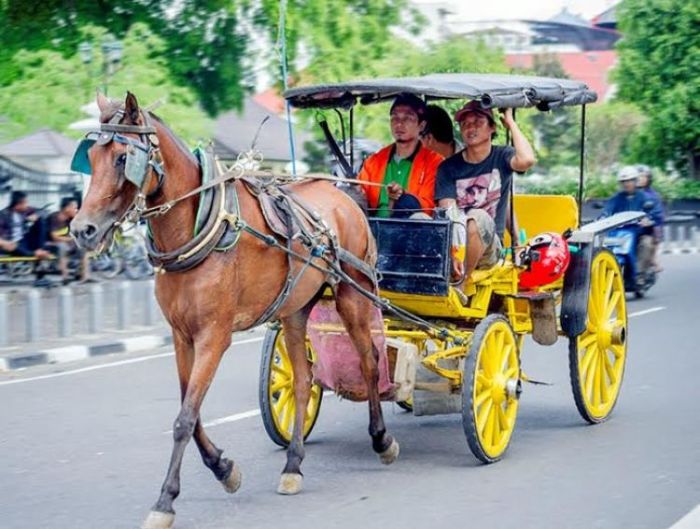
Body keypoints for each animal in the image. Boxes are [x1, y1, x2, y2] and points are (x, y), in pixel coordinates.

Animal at [72, 92, 402, 528]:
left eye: (124, 158)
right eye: (91, 156)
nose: (82, 230)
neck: (200, 226)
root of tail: (345, 196)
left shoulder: (214, 337)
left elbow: (184, 419)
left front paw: (165, 501)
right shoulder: (182, 336)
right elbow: (191, 412)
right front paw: (224, 469)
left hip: (353, 292)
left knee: (368, 362)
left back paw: (382, 439)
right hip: (294, 309)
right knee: (302, 379)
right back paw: (293, 464)